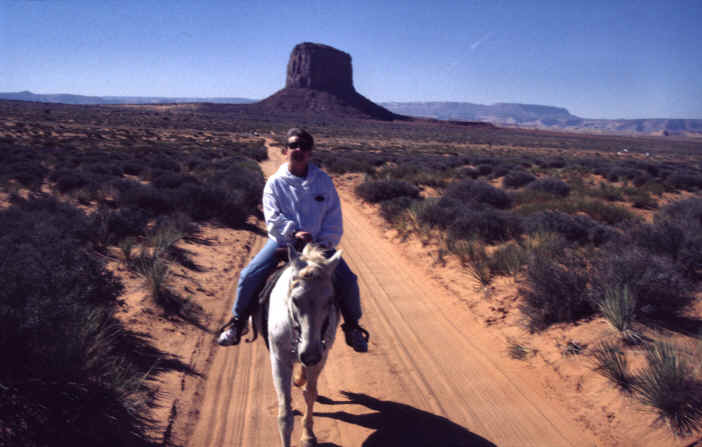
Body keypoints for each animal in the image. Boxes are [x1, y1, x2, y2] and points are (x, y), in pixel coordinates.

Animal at [253, 245, 344, 447]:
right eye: (295, 300)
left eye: (330, 300)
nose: (310, 355)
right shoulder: (279, 360)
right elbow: (285, 416)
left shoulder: (321, 358)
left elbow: (310, 394)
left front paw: (308, 435)